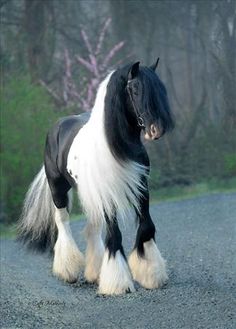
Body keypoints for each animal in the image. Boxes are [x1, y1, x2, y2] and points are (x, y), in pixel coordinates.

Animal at [17, 59, 174, 294]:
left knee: (92, 226)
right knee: (62, 221)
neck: (118, 147)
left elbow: (147, 226)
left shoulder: (141, 188)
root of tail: (57, 126)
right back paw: (67, 270)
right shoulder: (108, 194)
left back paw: (94, 272)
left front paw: (150, 274)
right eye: (135, 89)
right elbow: (115, 234)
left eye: (159, 89)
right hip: (58, 189)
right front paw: (119, 283)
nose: (156, 130)